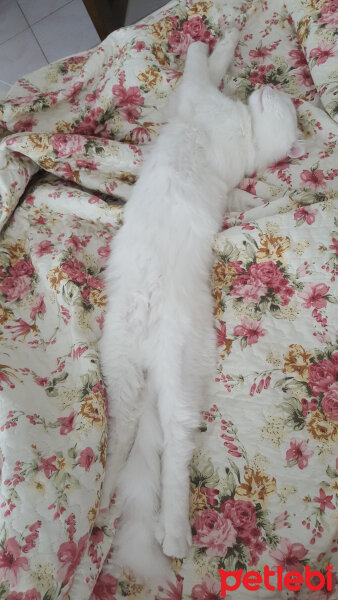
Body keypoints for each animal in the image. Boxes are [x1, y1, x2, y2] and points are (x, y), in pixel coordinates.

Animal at [98, 30, 302, 584]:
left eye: (282, 100)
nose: (269, 86)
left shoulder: (198, 97)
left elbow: (200, 64)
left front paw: (214, 37)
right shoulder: (195, 103)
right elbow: (207, 68)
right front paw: (220, 42)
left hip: (176, 376)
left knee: (175, 451)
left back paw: (173, 535)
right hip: (123, 376)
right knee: (123, 442)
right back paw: (104, 503)